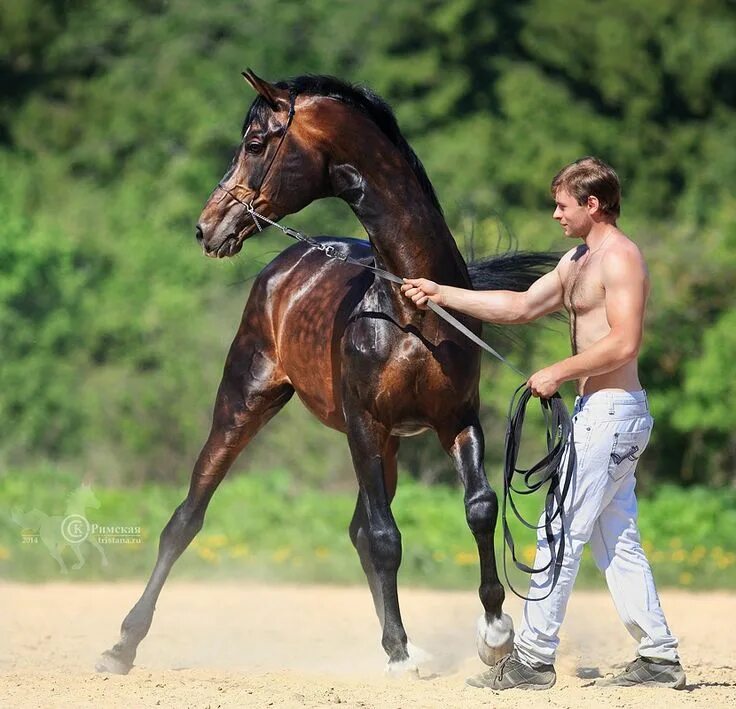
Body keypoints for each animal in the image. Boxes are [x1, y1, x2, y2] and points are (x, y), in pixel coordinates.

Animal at [98, 70, 556, 676]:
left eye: (255, 144)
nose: (206, 227)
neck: (408, 309)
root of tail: (284, 267)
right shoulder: (363, 423)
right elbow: (387, 537)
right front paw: (402, 657)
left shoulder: (456, 420)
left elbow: (478, 509)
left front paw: (495, 634)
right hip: (247, 404)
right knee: (187, 519)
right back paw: (122, 646)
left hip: (388, 444)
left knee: (359, 530)